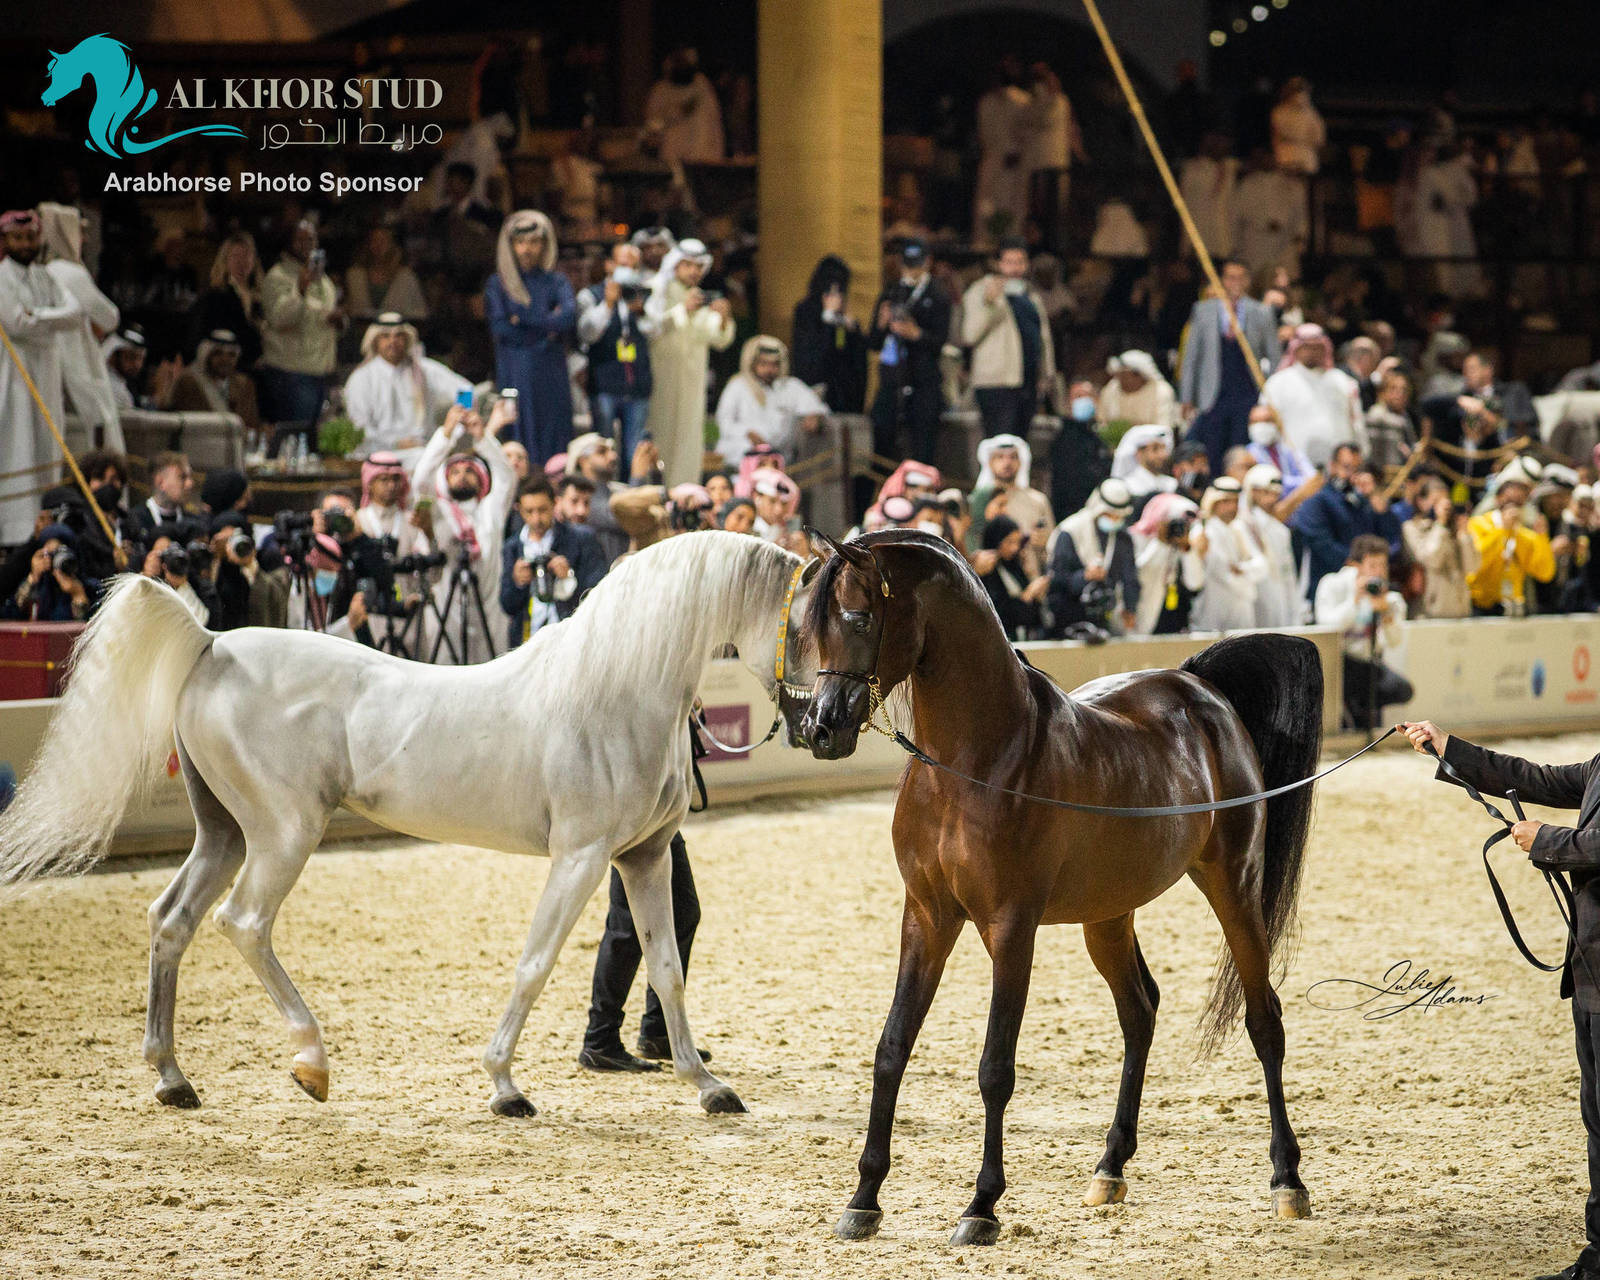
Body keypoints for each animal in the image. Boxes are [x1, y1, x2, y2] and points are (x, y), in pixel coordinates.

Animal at [0, 531, 819, 1119]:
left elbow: (668, 968)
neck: (616, 691)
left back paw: (173, 1079)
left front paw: (708, 1086)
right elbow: (536, 963)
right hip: (284, 832)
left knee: (172, 920)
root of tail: (211, 644)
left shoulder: (643, 858)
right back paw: (311, 1063)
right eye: (815, 621)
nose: (824, 721)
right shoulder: (581, 857)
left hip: (224, 832)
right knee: (244, 922)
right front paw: (504, 1087)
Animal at [798, 529, 1323, 1245]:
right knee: (1140, 1010)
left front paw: (982, 1205)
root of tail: (1199, 688)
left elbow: (995, 1068)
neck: (976, 759)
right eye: (811, 627)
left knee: (1263, 1020)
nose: (820, 729)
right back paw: (1110, 1168)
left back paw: (1287, 1180)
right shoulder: (926, 917)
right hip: (1108, 916)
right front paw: (864, 1198)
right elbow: (891, 1048)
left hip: (1234, 888)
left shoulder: (1010, 927)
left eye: (857, 618)